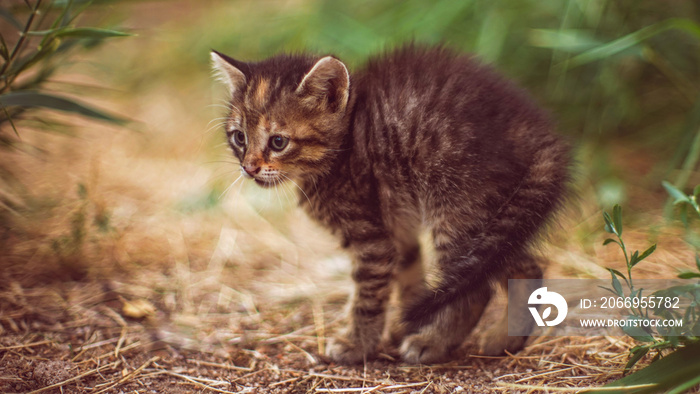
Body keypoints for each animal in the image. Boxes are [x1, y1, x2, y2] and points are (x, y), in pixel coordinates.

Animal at [212, 44, 568, 364]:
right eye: (239, 137)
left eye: (278, 142)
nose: (249, 168)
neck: (345, 145)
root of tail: (533, 131)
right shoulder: (396, 227)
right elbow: (410, 272)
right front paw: (403, 322)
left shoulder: (371, 238)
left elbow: (368, 298)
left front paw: (357, 345)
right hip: (494, 220)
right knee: (521, 266)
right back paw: (504, 340)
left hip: (458, 208)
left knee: (478, 287)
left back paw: (432, 344)